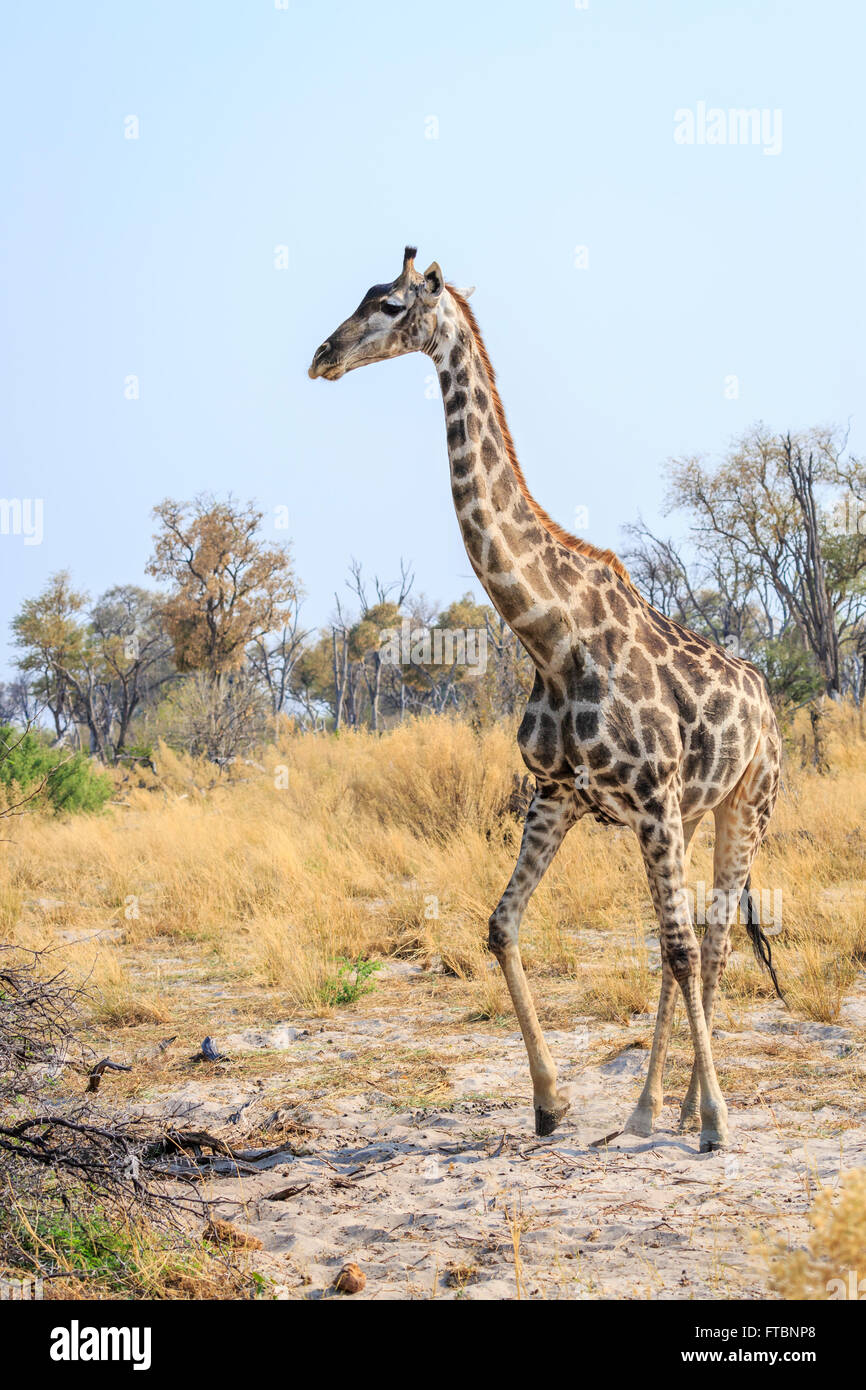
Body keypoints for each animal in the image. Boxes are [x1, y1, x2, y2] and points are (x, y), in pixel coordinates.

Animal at [308, 247, 783, 1150]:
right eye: (359, 296)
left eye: (388, 305)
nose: (321, 356)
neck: (549, 633)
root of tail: (768, 704)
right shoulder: (560, 793)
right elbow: (502, 924)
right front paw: (551, 1101)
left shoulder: (650, 797)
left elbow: (678, 947)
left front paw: (717, 1120)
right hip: (693, 812)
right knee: (684, 942)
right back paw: (650, 1108)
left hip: (746, 803)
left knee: (706, 941)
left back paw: (697, 1111)